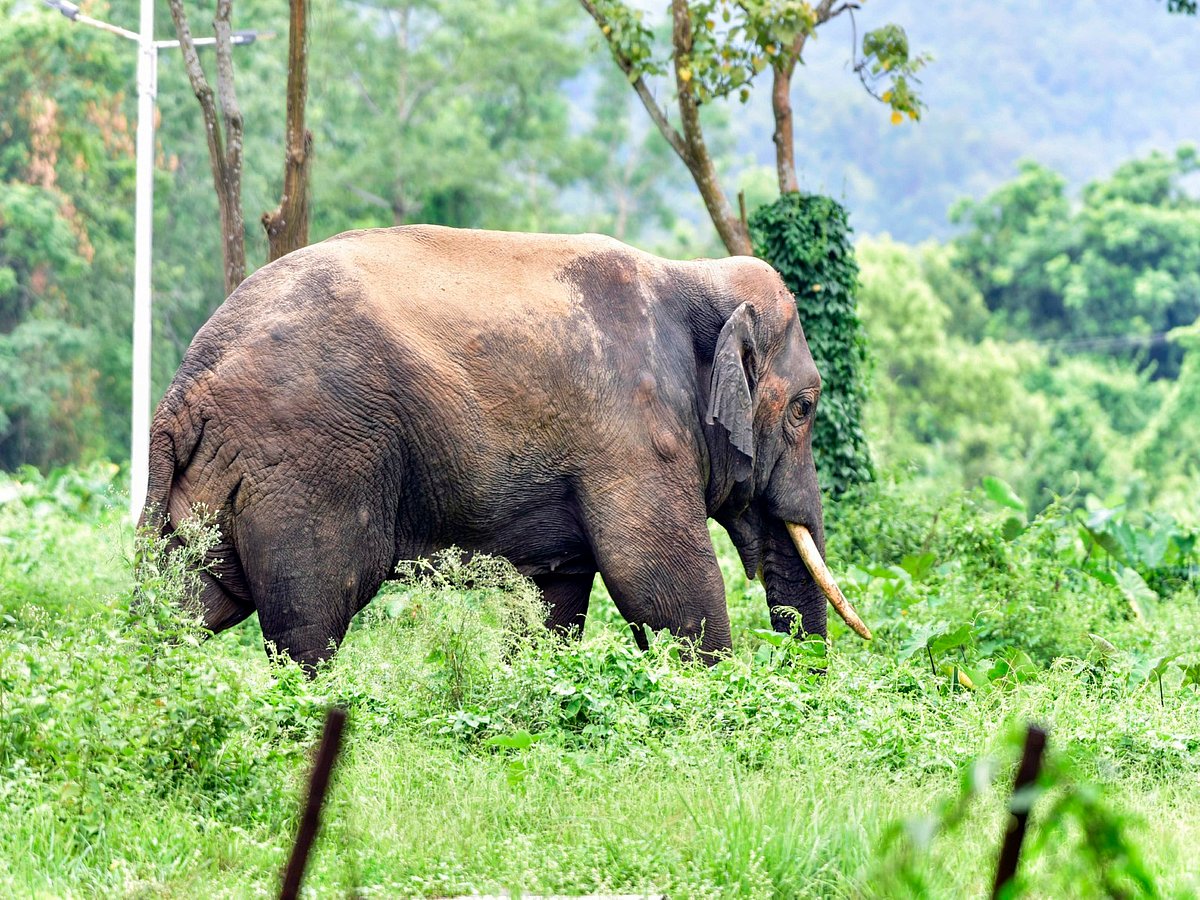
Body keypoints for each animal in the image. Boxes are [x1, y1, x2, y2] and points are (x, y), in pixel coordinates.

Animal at [139, 224, 870, 670]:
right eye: (804, 408)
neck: (692, 275)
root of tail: (185, 384)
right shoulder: (633, 432)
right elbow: (659, 584)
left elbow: (558, 596)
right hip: (309, 464)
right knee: (309, 622)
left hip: (216, 478)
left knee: (192, 601)